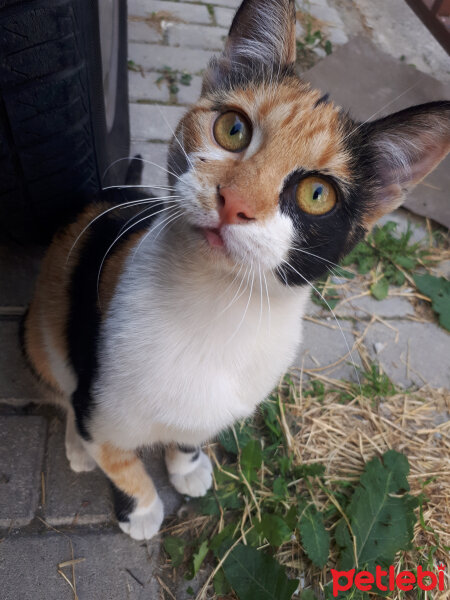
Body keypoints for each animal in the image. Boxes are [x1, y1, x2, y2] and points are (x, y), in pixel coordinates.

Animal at [22, 0, 448, 540]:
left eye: (317, 194)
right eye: (232, 129)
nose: (235, 203)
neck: (217, 306)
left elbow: (187, 434)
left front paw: (186, 466)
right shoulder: (98, 391)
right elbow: (118, 459)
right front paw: (140, 508)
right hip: (42, 328)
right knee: (59, 385)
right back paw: (78, 446)